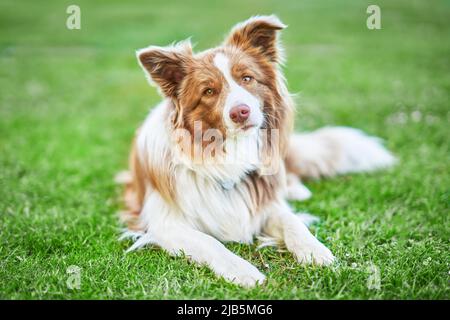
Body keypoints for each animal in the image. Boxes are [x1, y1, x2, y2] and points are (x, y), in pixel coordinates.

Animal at [117, 15, 398, 288]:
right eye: (209, 91)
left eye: (247, 78)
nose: (240, 112)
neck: (227, 153)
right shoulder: (165, 224)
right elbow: (211, 243)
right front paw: (242, 271)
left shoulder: (266, 204)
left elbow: (292, 221)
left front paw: (314, 251)